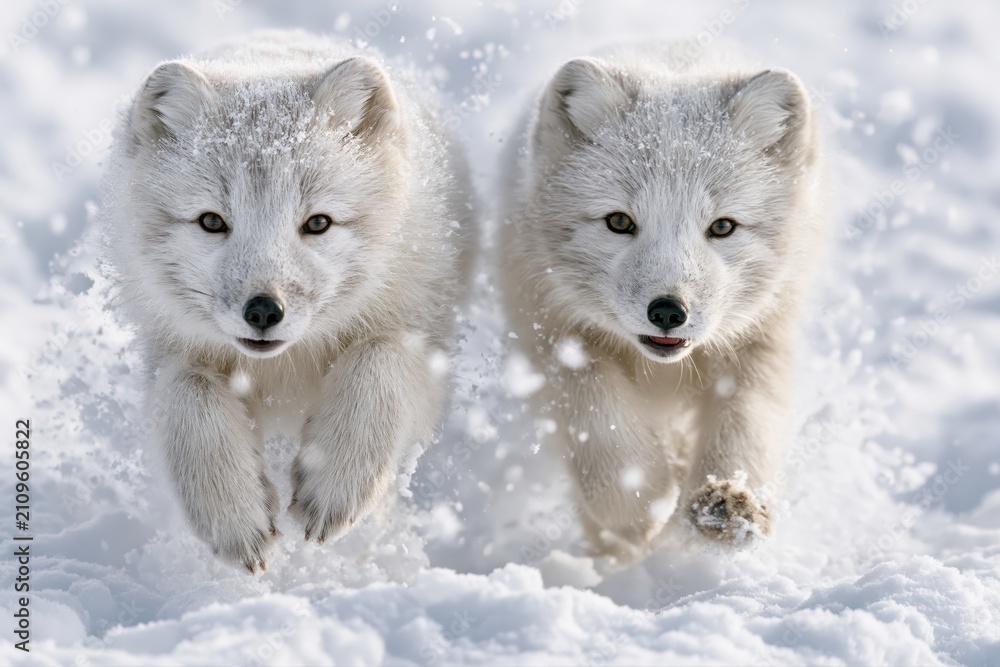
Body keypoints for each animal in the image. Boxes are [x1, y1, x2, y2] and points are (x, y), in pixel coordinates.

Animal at [101, 31, 475, 572]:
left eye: (317, 223)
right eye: (211, 221)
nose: (262, 310)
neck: (282, 372)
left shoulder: (423, 339)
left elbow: (378, 359)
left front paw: (333, 485)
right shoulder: (167, 353)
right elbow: (188, 395)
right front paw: (235, 518)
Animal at [500, 43, 827, 558]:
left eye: (722, 226)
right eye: (619, 222)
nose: (669, 311)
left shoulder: (764, 335)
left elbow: (748, 423)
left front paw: (726, 501)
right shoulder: (553, 333)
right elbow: (600, 423)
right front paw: (639, 506)